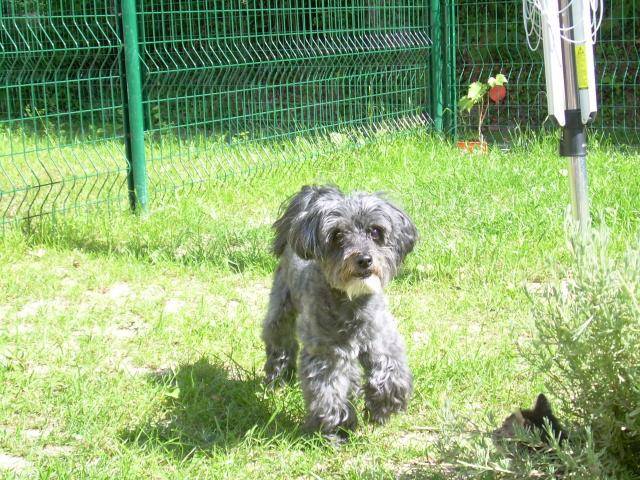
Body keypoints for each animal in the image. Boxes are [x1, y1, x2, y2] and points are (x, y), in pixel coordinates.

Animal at [261, 185, 418, 437]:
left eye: (375, 231)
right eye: (337, 235)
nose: (364, 259)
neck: (351, 302)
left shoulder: (383, 339)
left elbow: (392, 374)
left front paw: (382, 406)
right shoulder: (327, 353)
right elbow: (329, 391)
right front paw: (336, 429)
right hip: (281, 310)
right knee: (280, 342)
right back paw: (277, 378)